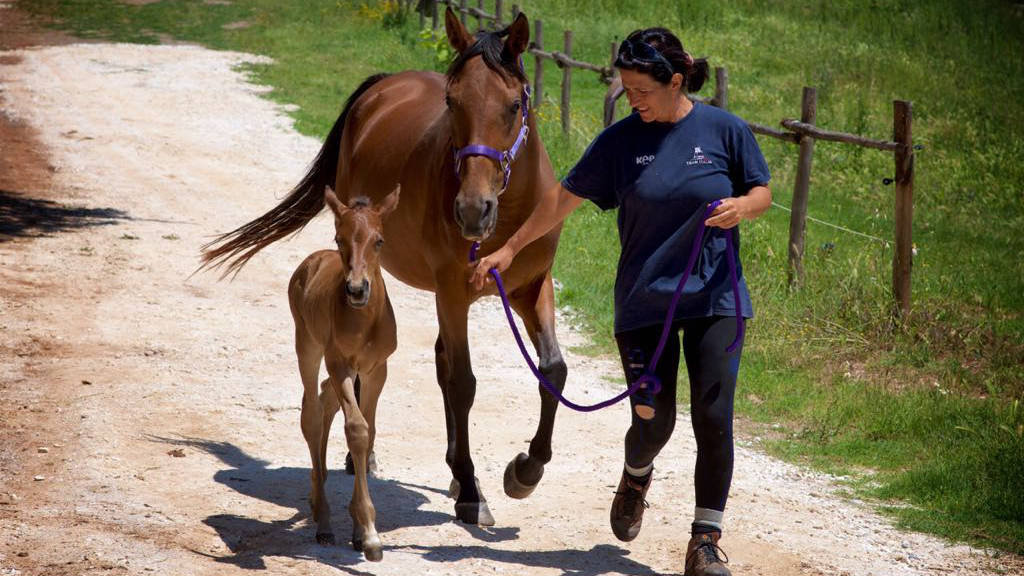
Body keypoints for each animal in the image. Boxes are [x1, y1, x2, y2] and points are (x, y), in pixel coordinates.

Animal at [290, 182, 401, 557]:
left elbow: (369, 433)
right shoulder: (339, 362)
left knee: (325, 399)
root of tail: (311, 261)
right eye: (340, 238)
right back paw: (322, 521)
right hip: (308, 347)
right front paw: (369, 532)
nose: (356, 289)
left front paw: (359, 530)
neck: (364, 320)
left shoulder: (376, 369)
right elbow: (357, 430)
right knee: (311, 413)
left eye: (379, 240)